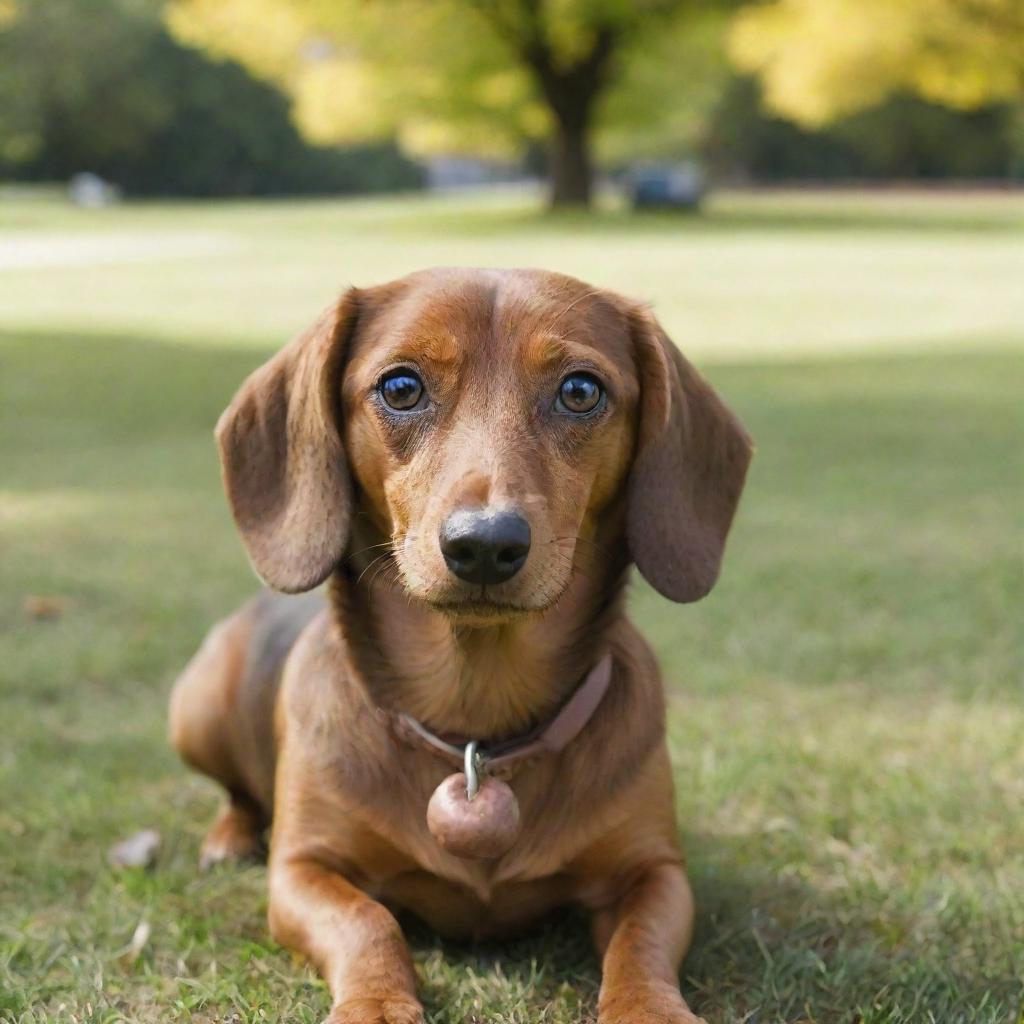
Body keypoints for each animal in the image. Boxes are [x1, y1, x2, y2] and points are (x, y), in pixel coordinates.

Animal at [169, 268, 753, 1019]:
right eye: (400, 386)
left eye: (581, 390)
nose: (484, 544)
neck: (477, 727)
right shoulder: (302, 871)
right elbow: (367, 921)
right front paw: (376, 1004)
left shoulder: (656, 871)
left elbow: (641, 946)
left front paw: (649, 1008)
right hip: (196, 713)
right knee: (238, 793)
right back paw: (229, 837)